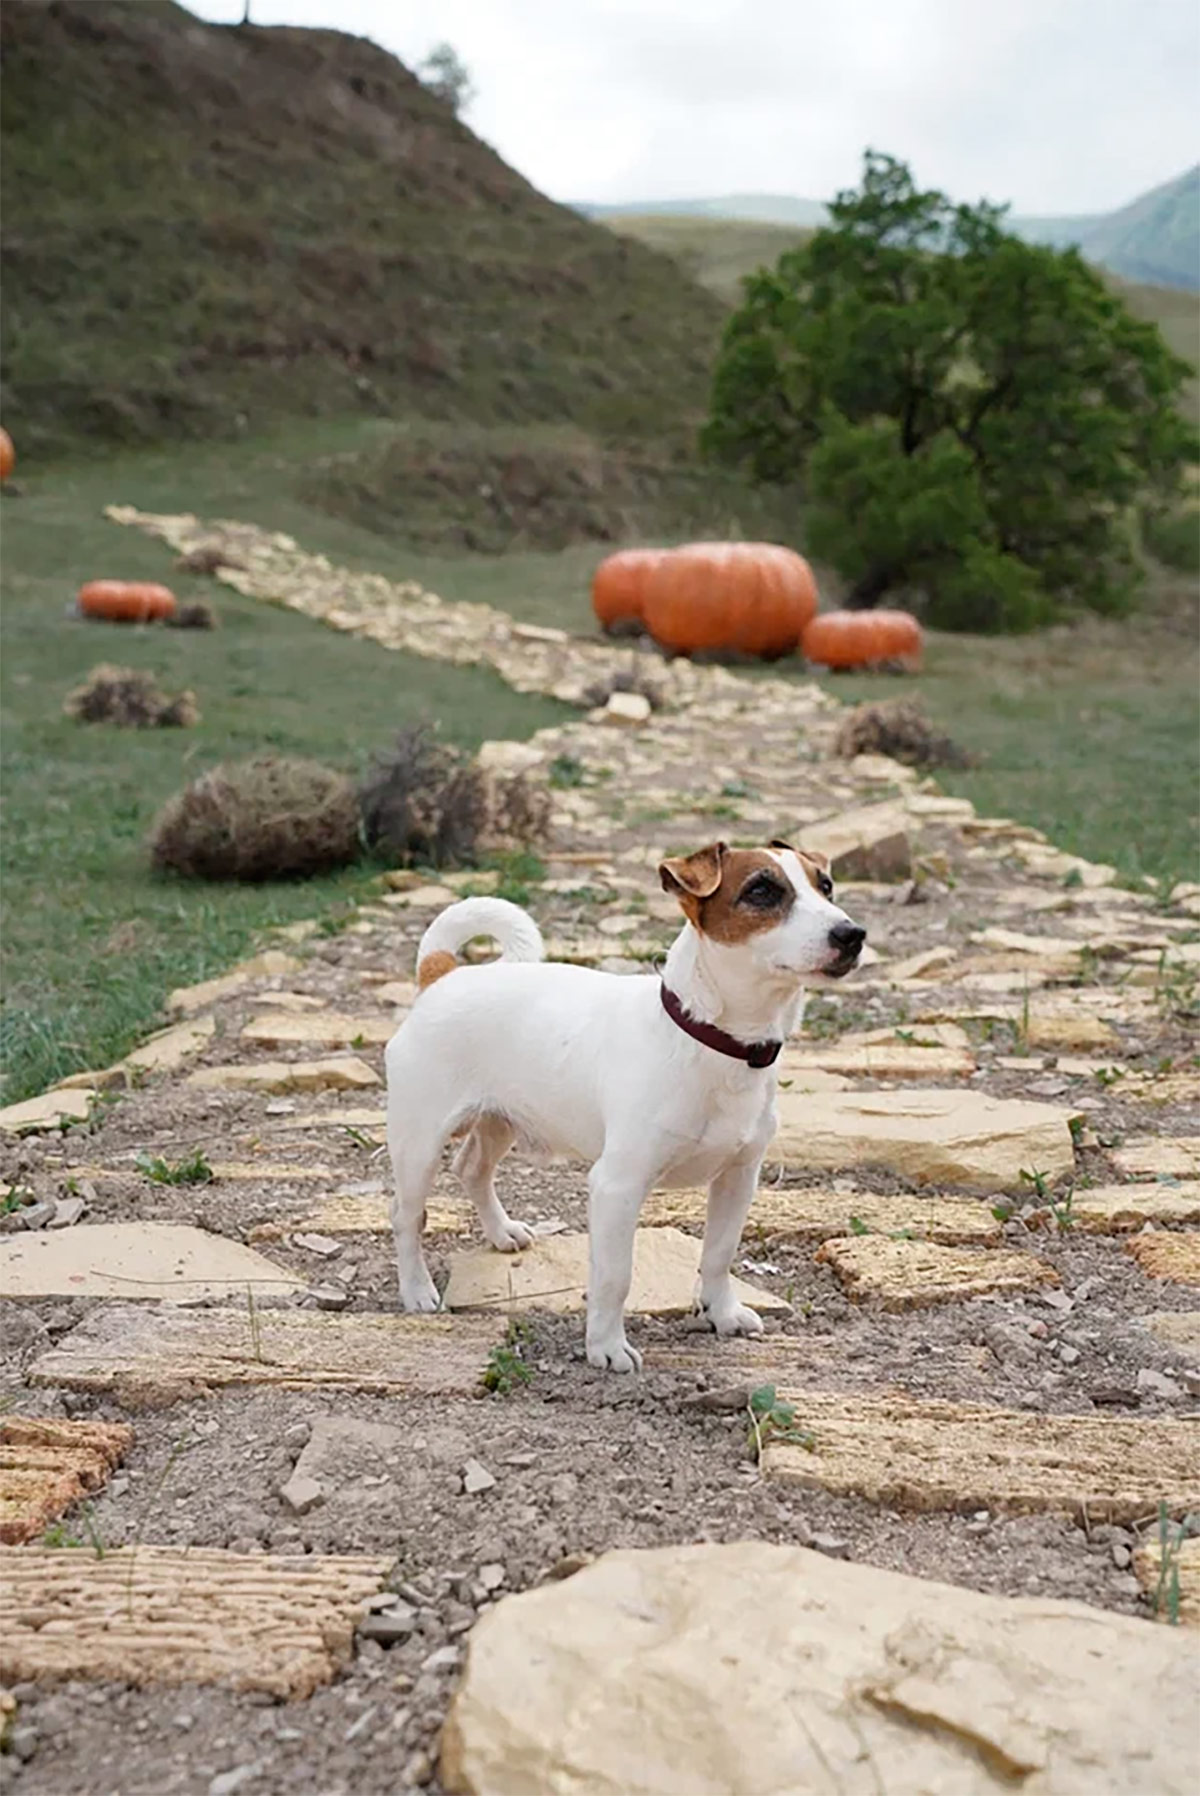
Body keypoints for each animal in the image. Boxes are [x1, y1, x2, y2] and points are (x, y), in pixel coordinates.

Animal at [384, 840, 862, 1372]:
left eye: (826, 887)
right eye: (761, 891)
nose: (852, 934)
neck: (712, 1040)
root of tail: (441, 973)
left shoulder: (738, 1178)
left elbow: (719, 1254)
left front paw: (721, 1313)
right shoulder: (618, 1186)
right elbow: (615, 1276)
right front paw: (606, 1347)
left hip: (501, 1119)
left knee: (472, 1168)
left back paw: (502, 1231)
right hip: (418, 1142)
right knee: (407, 1216)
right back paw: (417, 1290)